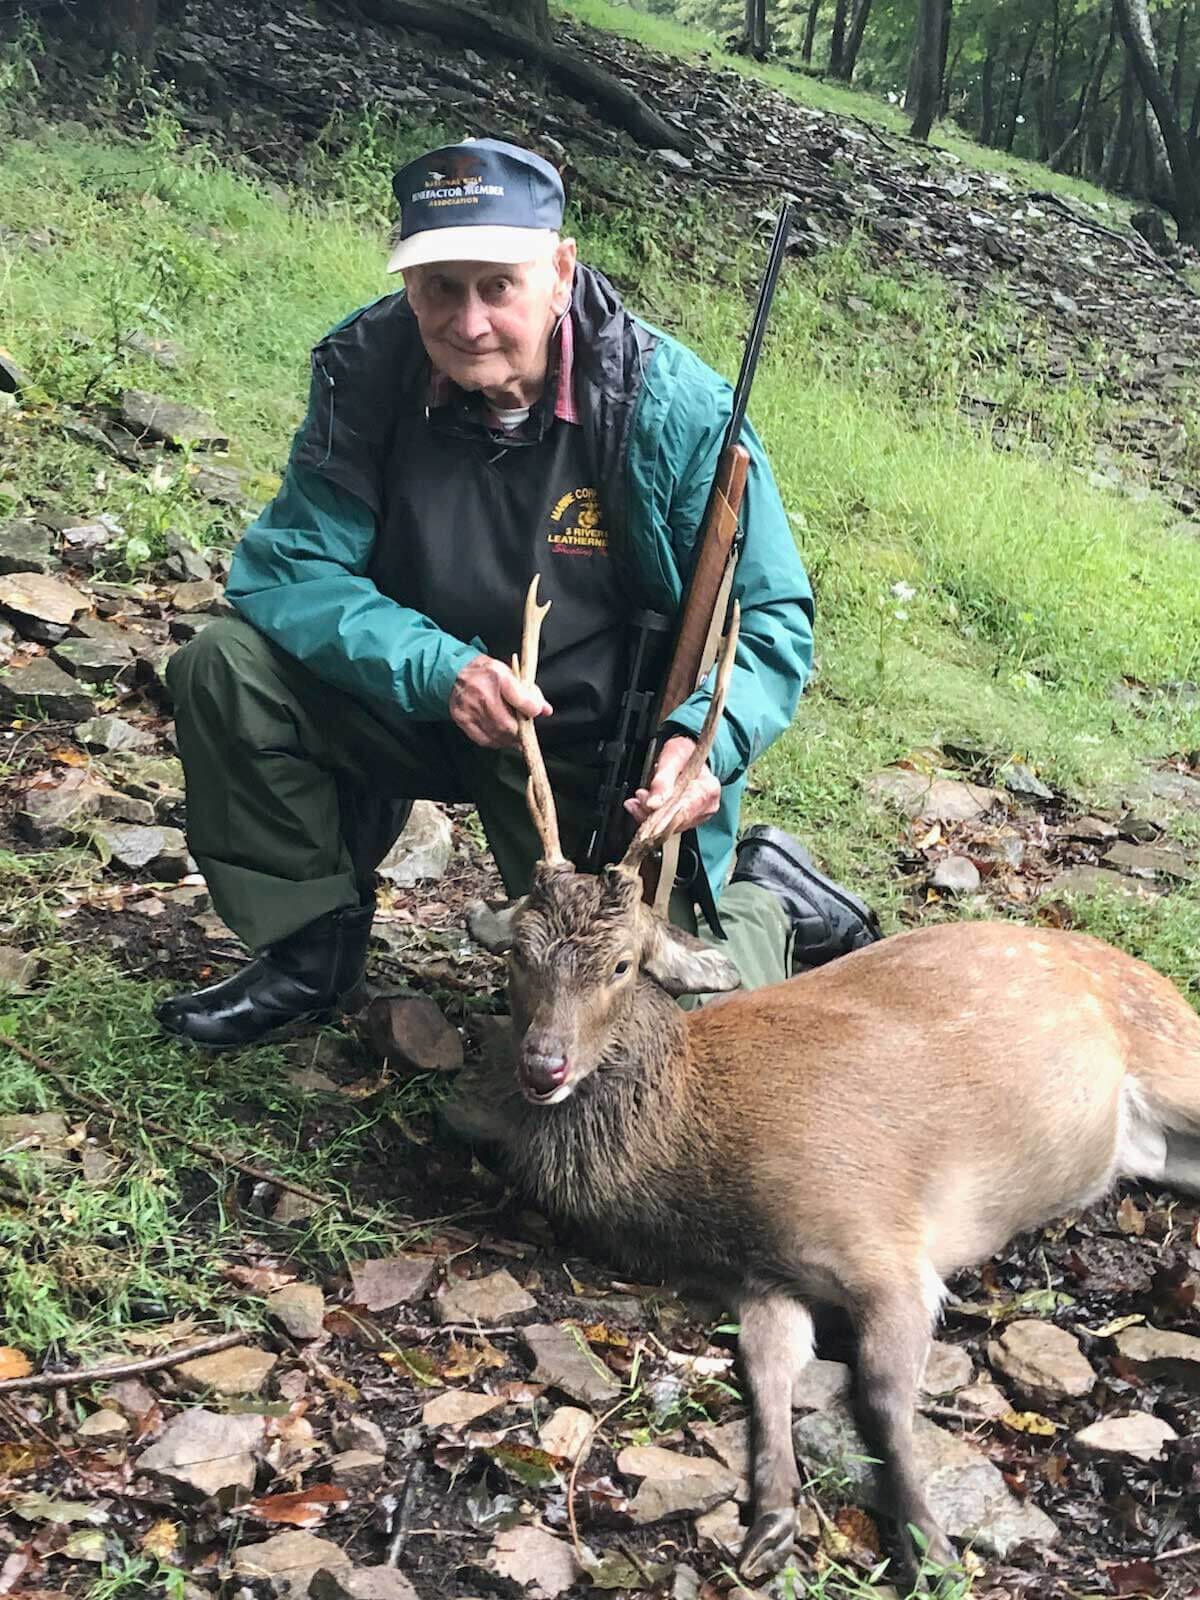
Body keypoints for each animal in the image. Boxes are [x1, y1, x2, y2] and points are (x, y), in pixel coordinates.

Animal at [454, 579, 1200, 1587]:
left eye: (620, 965)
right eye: (519, 956)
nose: (544, 1065)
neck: (701, 1183)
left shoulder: (885, 1237)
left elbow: (881, 1396)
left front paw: (930, 1547)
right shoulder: (760, 1282)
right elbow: (766, 1380)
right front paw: (770, 1520)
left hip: (1175, 1049)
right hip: (1151, 1146)